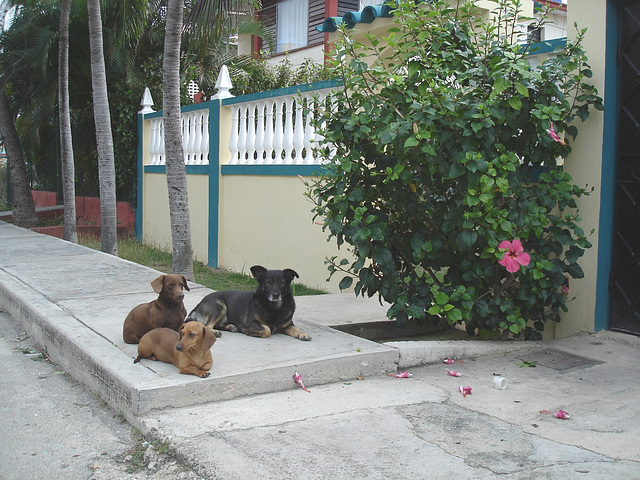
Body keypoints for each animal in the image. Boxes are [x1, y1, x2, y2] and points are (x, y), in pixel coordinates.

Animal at [184, 266, 312, 342]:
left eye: (282, 282)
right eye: (268, 282)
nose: (275, 295)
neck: (274, 308)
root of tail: (199, 304)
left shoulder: (288, 325)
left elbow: (295, 329)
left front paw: (302, 334)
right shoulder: (252, 323)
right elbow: (267, 329)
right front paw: (251, 332)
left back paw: (230, 327)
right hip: (220, 306)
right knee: (207, 326)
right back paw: (216, 332)